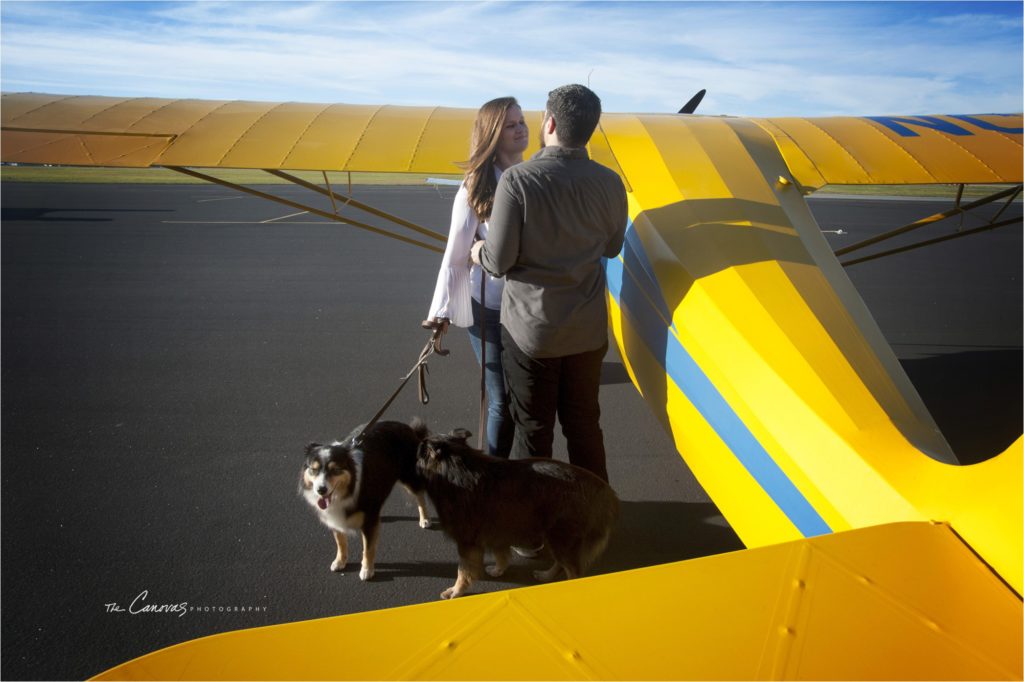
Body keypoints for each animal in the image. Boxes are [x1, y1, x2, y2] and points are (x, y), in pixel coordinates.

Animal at [413, 430, 614, 593]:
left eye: (419, 451)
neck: (456, 469)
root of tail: (604, 491)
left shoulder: (468, 540)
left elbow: (464, 571)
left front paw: (456, 591)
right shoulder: (497, 529)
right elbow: (501, 556)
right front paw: (498, 570)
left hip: (562, 537)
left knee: (573, 570)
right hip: (558, 539)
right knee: (560, 563)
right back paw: (546, 576)